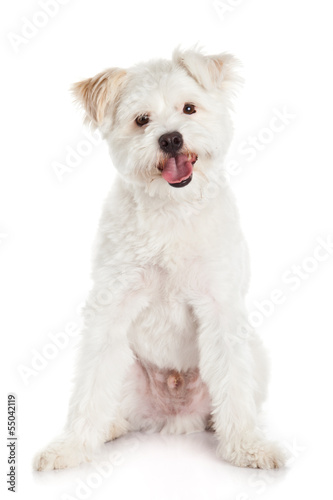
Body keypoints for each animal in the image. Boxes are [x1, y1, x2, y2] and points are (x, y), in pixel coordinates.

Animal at [33, 48, 284, 470]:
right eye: (141, 119)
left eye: (189, 108)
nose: (171, 138)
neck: (171, 209)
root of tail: (176, 417)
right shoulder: (111, 306)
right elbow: (90, 387)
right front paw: (72, 447)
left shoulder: (219, 306)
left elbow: (233, 385)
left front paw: (247, 446)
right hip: (128, 370)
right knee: (113, 404)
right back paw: (108, 428)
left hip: (254, 353)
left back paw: (220, 427)